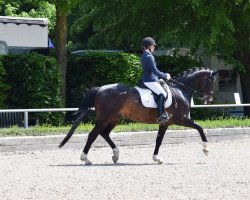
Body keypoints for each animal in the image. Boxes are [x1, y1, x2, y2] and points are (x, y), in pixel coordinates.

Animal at [58, 67, 217, 164]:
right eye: (211, 81)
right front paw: (206, 149)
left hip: (114, 118)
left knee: (104, 134)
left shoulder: (165, 123)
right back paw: (85, 159)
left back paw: (116, 155)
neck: (180, 90)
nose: (209, 99)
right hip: (104, 119)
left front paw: (157, 159)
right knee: (93, 135)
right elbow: (199, 127)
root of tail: (100, 89)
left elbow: (159, 140)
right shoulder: (180, 119)